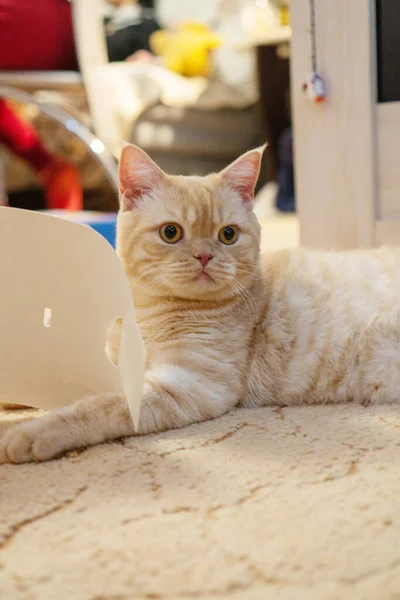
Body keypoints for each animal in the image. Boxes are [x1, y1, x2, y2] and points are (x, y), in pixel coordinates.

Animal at [0, 145, 400, 464]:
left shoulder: (188, 385)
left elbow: (99, 404)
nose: (205, 256)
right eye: (170, 232)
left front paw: (34, 432)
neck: (150, 313)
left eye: (228, 234)